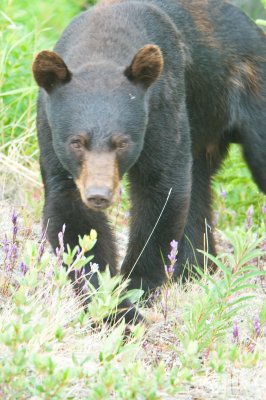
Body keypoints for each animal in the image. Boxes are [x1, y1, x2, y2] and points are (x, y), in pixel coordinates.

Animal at [32, 0, 266, 318]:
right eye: (76, 142)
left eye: (122, 142)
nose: (98, 194)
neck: (102, 46)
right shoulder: (50, 130)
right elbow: (72, 218)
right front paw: (110, 307)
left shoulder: (161, 108)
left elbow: (161, 192)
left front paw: (137, 291)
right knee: (198, 192)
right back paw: (194, 270)